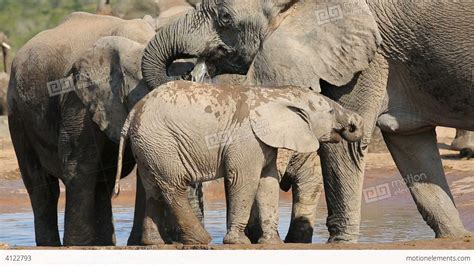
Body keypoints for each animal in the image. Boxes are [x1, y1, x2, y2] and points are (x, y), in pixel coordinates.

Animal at [7, 11, 200, 245]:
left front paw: (144, 244)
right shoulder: (77, 99)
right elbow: (78, 166)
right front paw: (76, 247)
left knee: (102, 182)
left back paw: (105, 243)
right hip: (17, 110)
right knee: (42, 184)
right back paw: (53, 246)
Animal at [114, 81, 362, 245]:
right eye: (330, 111)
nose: (355, 124)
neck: (276, 93)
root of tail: (133, 112)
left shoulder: (265, 141)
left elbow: (268, 183)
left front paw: (272, 244)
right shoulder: (246, 138)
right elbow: (244, 180)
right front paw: (238, 242)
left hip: (149, 146)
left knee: (153, 189)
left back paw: (153, 243)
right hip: (161, 141)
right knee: (173, 186)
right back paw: (201, 240)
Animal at [142, 0, 474, 241]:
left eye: (224, 17)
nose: (187, 73)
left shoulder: (366, 56)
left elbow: (345, 146)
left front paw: (339, 245)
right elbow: (413, 150)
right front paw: (454, 239)